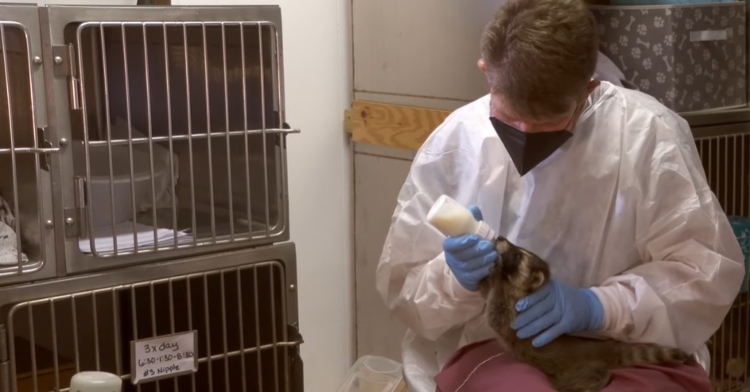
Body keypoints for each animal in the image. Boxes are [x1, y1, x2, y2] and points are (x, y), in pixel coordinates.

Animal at [482, 236, 692, 392]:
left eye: (518, 256)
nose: (500, 237)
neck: (529, 291)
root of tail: (602, 348)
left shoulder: (516, 312)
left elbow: (495, 315)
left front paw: (495, 271)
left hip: (573, 371)